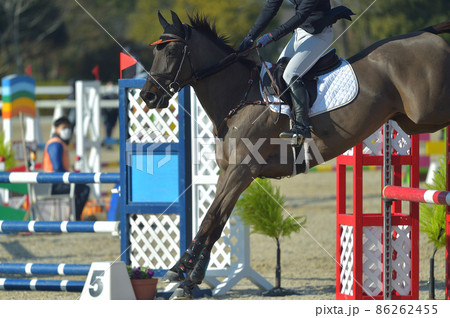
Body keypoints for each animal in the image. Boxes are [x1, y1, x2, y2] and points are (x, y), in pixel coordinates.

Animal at [141, 11, 450, 300]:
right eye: (155, 51)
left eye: (171, 52)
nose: (148, 96)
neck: (240, 97)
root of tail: (429, 36)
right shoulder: (229, 173)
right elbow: (215, 221)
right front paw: (186, 274)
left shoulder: (242, 172)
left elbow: (211, 217)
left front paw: (184, 274)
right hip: (412, 121)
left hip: (429, 113)